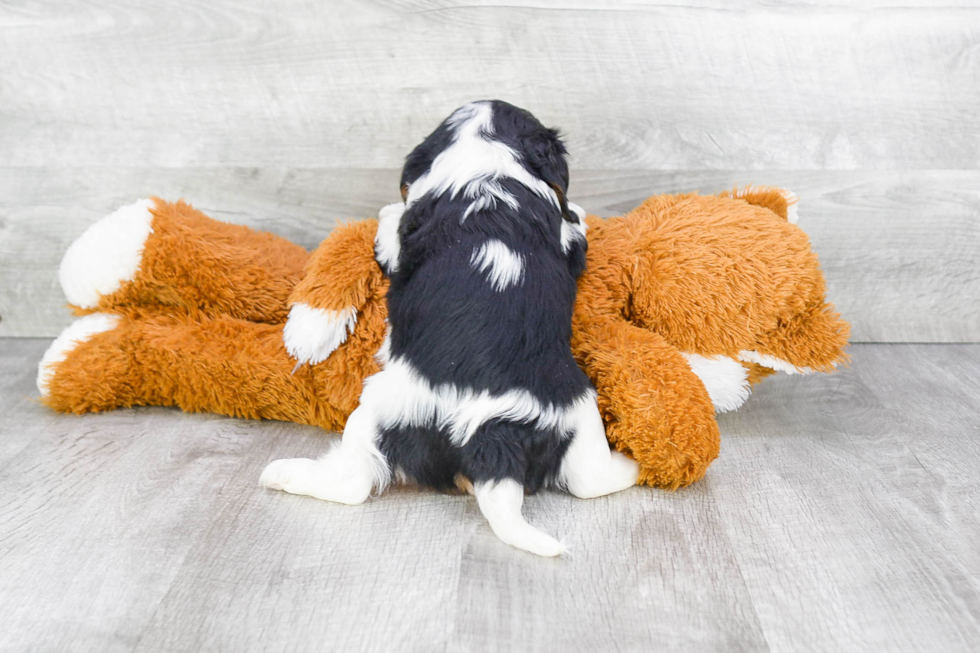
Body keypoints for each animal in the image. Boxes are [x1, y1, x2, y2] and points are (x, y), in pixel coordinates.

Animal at [260, 100, 640, 556]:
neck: (487, 160)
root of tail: (492, 437)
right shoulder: (566, 243)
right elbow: (572, 226)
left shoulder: (399, 243)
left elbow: (390, 221)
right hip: (576, 411)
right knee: (590, 480)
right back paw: (632, 464)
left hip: (381, 412)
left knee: (353, 481)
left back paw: (283, 474)